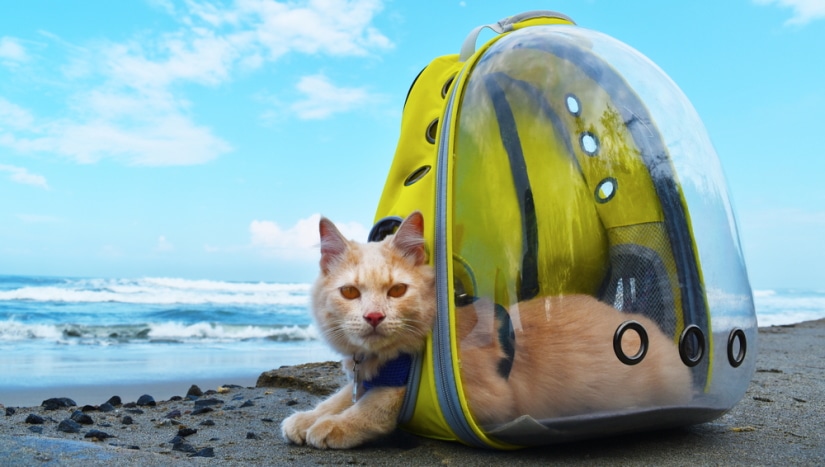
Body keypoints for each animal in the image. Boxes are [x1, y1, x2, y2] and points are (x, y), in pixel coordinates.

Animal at [280, 210, 692, 448]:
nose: (374, 317)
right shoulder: (363, 375)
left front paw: (335, 426)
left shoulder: (486, 397)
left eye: (397, 290)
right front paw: (309, 418)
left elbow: (378, 401)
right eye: (350, 292)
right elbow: (341, 395)